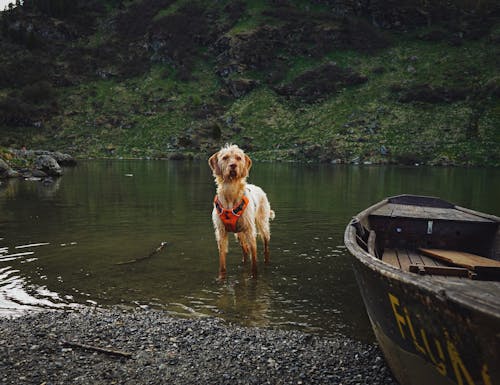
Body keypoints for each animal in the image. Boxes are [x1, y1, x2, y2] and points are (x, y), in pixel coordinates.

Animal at [209, 144, 276, 280]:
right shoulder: (221, 232)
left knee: (265, 247)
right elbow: (222, 262)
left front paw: (255, 275)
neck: (230, 191)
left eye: (238, 158)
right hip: (239, 234)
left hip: (263, 225)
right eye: (225, 157)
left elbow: (254, 258)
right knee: (245, 250)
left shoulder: (250, 230)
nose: (233, 165)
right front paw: (222, 276)